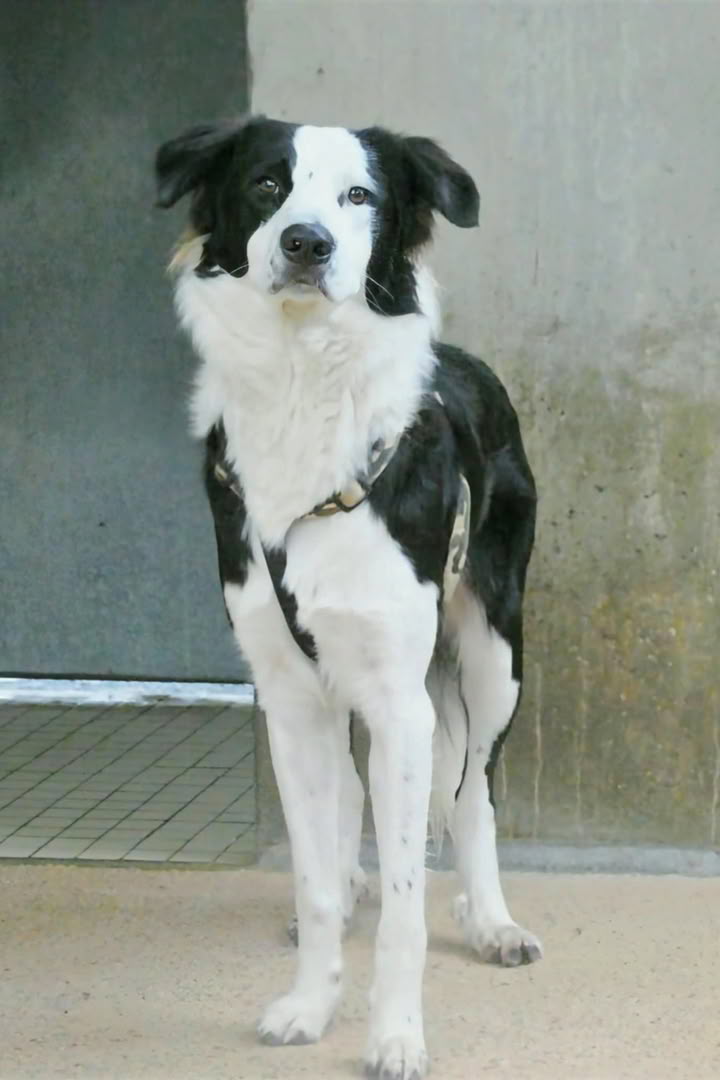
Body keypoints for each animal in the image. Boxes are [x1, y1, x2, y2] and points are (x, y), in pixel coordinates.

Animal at [155, 115, 541, 1080]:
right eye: (266, 183)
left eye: (360, 195)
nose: (307, 243)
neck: (305, 382)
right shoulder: (291, 696)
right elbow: (315, 875)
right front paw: (311, 1003)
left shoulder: (405, 700)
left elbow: (410, 900)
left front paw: (396, 1035)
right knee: (350, 808)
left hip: (495, 654)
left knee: (474, 792)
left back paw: (491, 919)